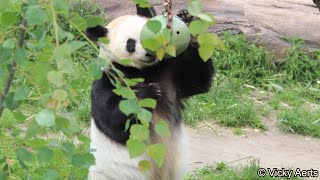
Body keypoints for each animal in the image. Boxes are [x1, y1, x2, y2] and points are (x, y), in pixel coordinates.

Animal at [85, 4, 215, 180]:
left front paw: (189, 22)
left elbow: (198, 80)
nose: (149, 52)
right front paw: (149, 92)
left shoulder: (169, 73)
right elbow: (113, 121)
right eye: (131, 43)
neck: (143, 70)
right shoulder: (109, 80)